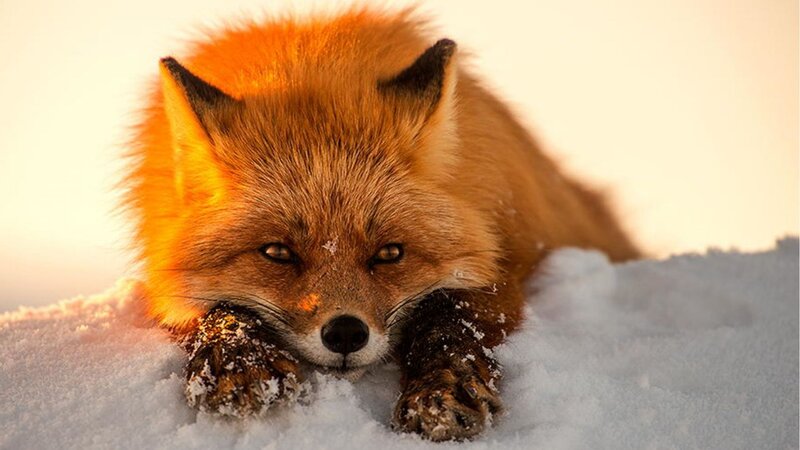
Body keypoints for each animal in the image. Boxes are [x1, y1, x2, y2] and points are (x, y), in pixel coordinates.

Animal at [122, 7, 639, 441]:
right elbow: (221, 312)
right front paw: (238, 362)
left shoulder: (504, 264)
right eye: (277, 253)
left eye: (390, 253)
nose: (346, 334)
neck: (314, 63)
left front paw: (443, 389)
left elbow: (451, 316)